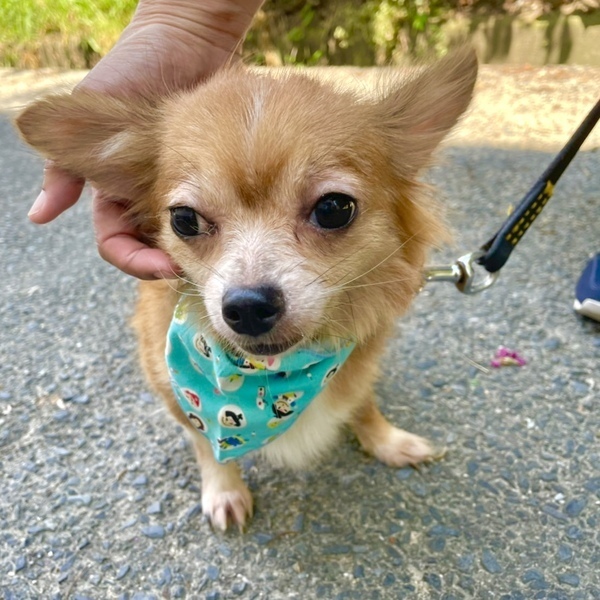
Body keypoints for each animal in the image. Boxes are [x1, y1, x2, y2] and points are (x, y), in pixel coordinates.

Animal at [16, 48, 477, 531]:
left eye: (334, 208)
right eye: (184, 219)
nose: (249, 306)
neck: (269, 377)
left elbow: (362, 400)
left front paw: (387, 439)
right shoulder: (173, 391)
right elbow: (204, 440)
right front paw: (224, 489)